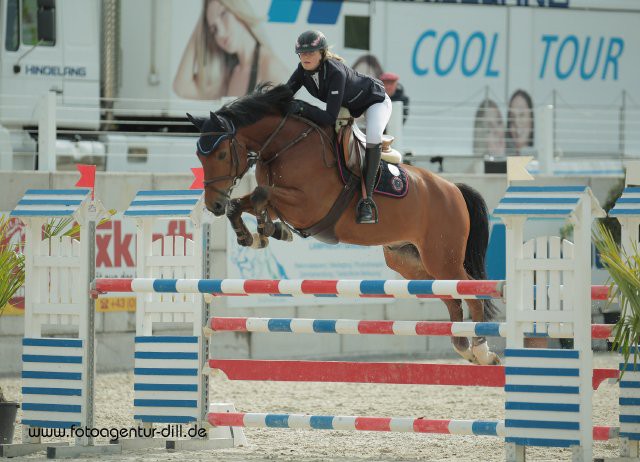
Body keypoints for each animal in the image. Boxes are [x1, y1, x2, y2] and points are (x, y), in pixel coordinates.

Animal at [188, 82, 502, 364]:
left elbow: (261, 194)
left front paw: (265, 230)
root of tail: (453, 189)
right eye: (200, 156)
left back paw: (482, 351)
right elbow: (247, 203)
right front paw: (257, 235)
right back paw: (463, 347)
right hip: (410, 260)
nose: (213, 205)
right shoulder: (285, 205)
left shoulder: (308, 206)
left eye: (221, 154)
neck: (285, 144)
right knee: (450, 295)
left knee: (472, 292)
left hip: (443, 257)